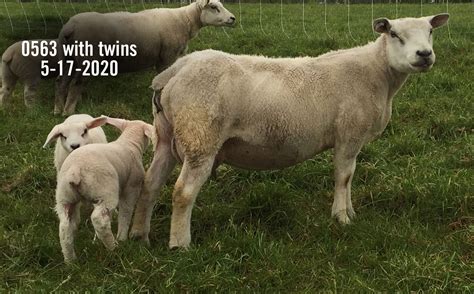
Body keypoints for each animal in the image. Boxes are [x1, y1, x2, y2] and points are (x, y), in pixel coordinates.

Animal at [54, 0, 236, 116]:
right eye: (213, 7)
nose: (233, 18)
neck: (185, 21)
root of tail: (70, 27)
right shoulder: (166, 56)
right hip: (88, 59)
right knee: (76, 84)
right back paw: (68, 112)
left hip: (67, 57)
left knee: (61, 82)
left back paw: (57, 110)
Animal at [55, 116, 155, 262]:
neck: (129, 143)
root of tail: (75, 170)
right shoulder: (131, 187)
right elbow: (126, 211)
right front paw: (122, 237)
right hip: (105, 191)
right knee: (99, 220)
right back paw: (113, 247)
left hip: (65, 196)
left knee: (64, 227)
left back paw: (70, 260)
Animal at [131, 14, 452, 248]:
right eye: (394, 34)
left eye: (430, 32)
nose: (424, 54)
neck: (377, 74)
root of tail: (173, 72)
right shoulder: (349, 134)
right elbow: (344, 177)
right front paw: (342, 218)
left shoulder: (352, 139)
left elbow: (349, 177)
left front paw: (349, 212)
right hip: (200, 136)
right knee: (183, 192)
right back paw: (180, 245)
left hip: (167, 136)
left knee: (150, 184)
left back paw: (139, 236)